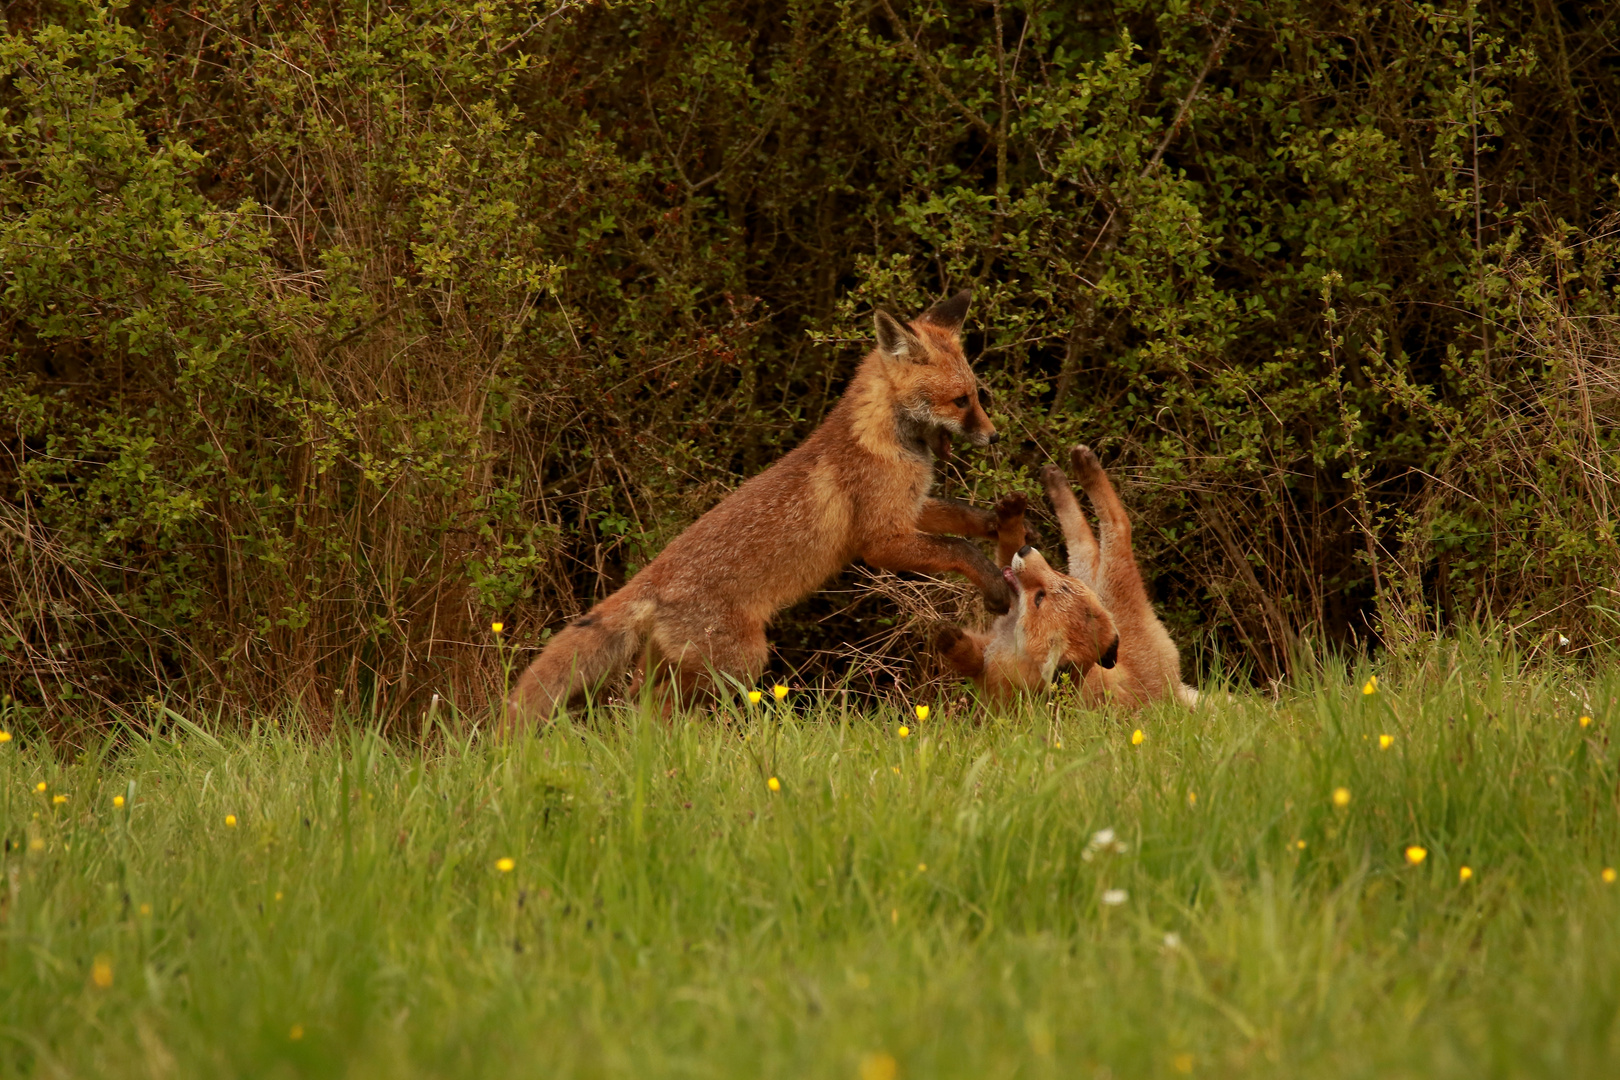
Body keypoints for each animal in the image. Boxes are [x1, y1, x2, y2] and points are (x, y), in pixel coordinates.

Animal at [511, 291, 1010, 722]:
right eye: (961, 401)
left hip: (674, 664)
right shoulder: (881, 541)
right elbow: (959, 549)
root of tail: (652, 577)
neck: (886, 441)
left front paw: (1000, 522)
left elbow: (962, 519)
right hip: (740, 663)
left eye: (976, 395)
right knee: (662, 712)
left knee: (637, 705)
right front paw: (996, 586)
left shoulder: (908, 510)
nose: (994, 437)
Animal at [933, 443, 1198, 705]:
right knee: (1085, 540)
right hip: (1089, 575)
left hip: (1113, 577)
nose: (1026, 550)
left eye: (1039, 598)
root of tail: (1171, 692)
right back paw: (1057, 475)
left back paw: (1083, 466)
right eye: (1061, 581)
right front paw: (1010, 519)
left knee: (1117, 523)